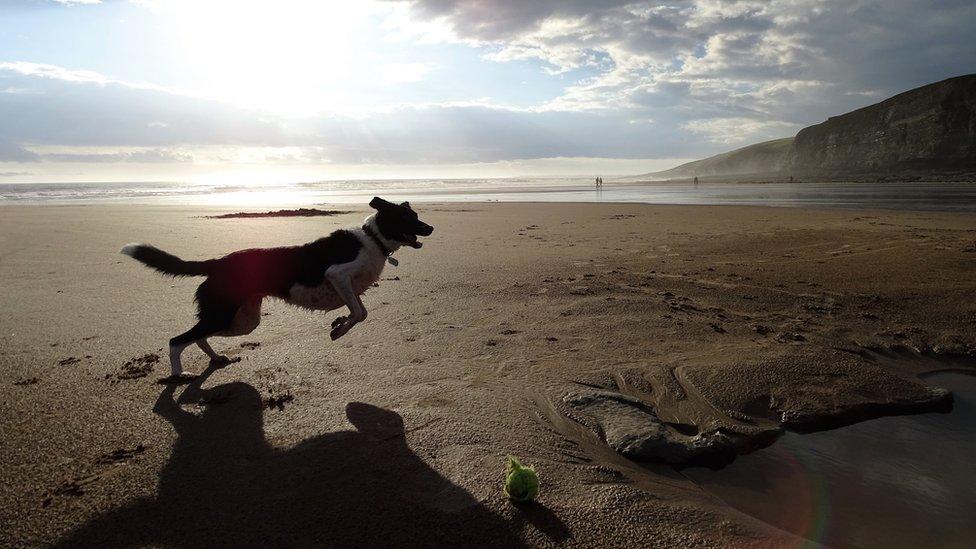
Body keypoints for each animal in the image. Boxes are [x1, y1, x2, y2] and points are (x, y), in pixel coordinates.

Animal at [120, 197, 432, 382]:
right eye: (408, 218)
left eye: (416, 214)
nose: (430, 228)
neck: (372, 239)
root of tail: (217, 263)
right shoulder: (337, 274)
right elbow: (359, 313)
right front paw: (340, 328)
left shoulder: (349, 288)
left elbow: (360, 311)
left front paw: (339, 324)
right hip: (223, 314)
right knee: (177, 340)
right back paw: (178, 374)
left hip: (243, 321)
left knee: (199, 336)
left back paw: (215, 358)